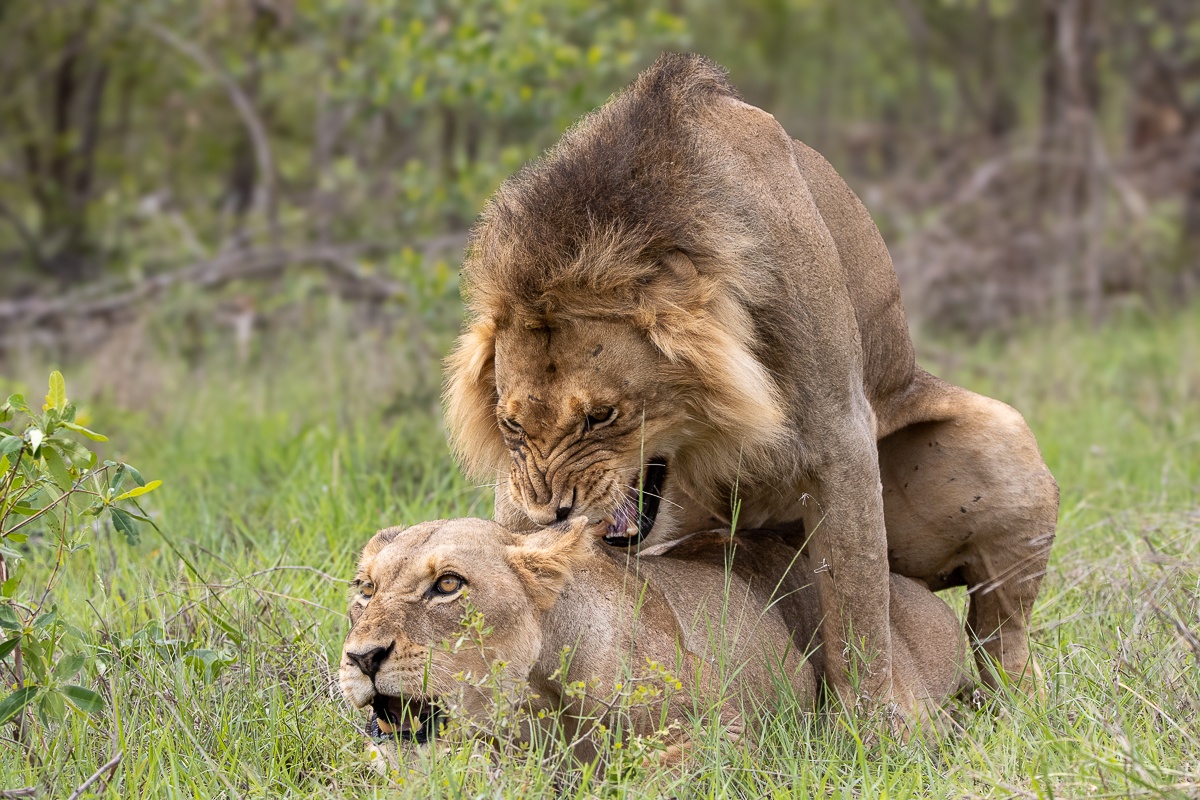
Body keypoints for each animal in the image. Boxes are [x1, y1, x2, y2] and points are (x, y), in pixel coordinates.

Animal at [442, 53, 1058, 710]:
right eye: (511, 425)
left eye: (601, 416)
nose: (553, 517)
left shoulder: (840, 436)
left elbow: (860, 615)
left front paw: (876, 729)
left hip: (1000, 441)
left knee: (999, 637)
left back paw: (1016, 708)